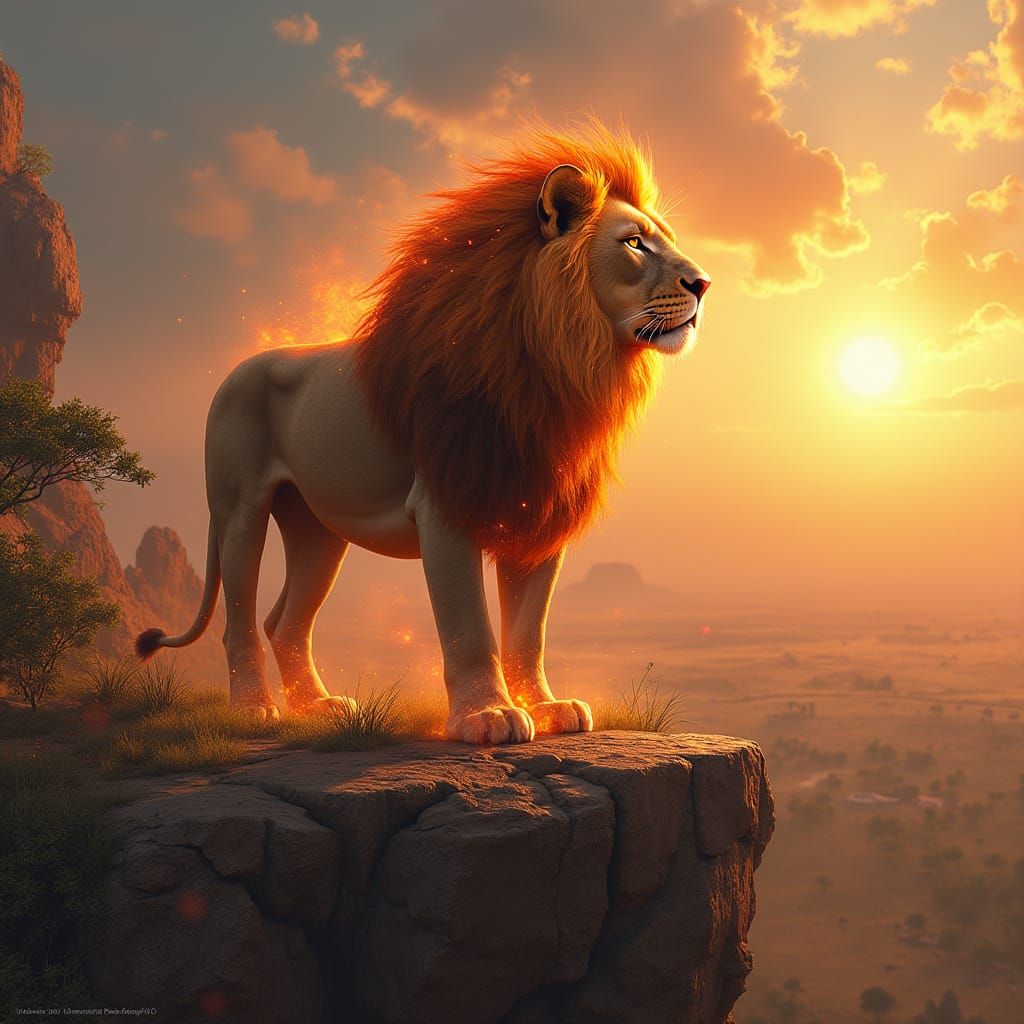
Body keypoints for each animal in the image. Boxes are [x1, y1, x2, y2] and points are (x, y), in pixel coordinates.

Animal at [136, 120, 710, 745]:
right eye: (634, 244)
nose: (703, 283)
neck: (557, 369)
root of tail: (236, 370)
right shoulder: (446, 505)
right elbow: (469, 627)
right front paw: (486, 715)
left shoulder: (536, 510)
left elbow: (528, 631)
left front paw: (545, 708)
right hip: (240, 509)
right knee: (239, 617)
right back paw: (254, 710)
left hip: (317, 529)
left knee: (283, 621)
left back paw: (320, 708)